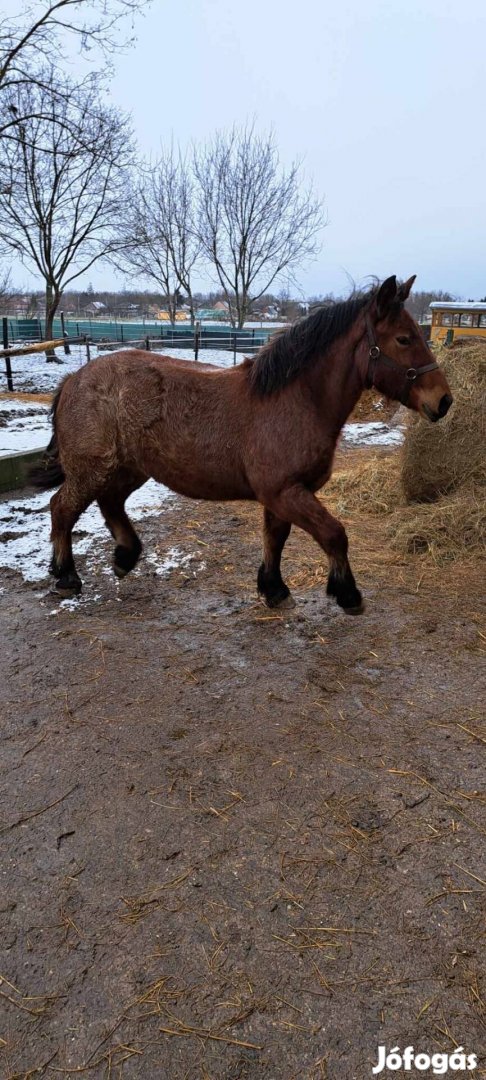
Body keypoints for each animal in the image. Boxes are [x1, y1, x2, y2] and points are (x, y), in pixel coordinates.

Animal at [32, 274, 453, 613]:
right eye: (403, 338)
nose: (444, 401)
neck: (294, 400)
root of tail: (74, 379)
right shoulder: (285, 491)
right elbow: (334, 534)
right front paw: (347, 593)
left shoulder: (283, 494)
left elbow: (275, 539)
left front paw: (274, 589)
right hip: (92, 469)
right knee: (62, 509)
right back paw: (66, 577)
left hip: (129, 468)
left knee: (110, 502)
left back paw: (124, 557)